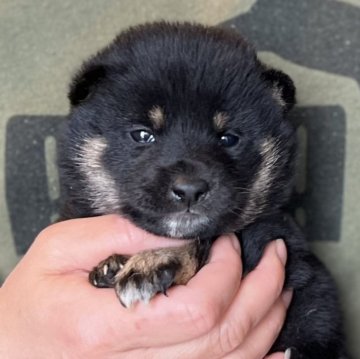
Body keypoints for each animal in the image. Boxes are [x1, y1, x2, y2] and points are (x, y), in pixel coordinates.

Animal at [59, 21, 348, 358]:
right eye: (142, 134)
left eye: (229, 138)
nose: (189, 190)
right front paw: (115, 265)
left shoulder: (282, 248)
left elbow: (208, 239)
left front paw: (153, 263)